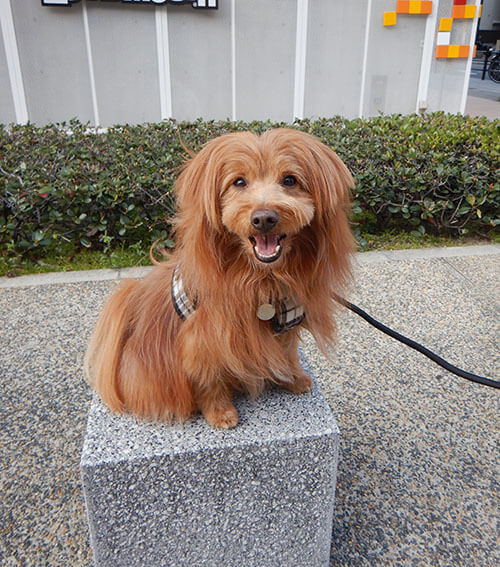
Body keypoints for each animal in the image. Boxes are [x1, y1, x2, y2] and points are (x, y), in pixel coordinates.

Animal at [84, 129, 354, 428]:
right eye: (239, 182)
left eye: (289, 180)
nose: (264, 218)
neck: (260, 277)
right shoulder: (204, 335)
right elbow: (209, 376)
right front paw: (220, 412)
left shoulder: (288, 316)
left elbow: (287, 351)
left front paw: (293, 378)